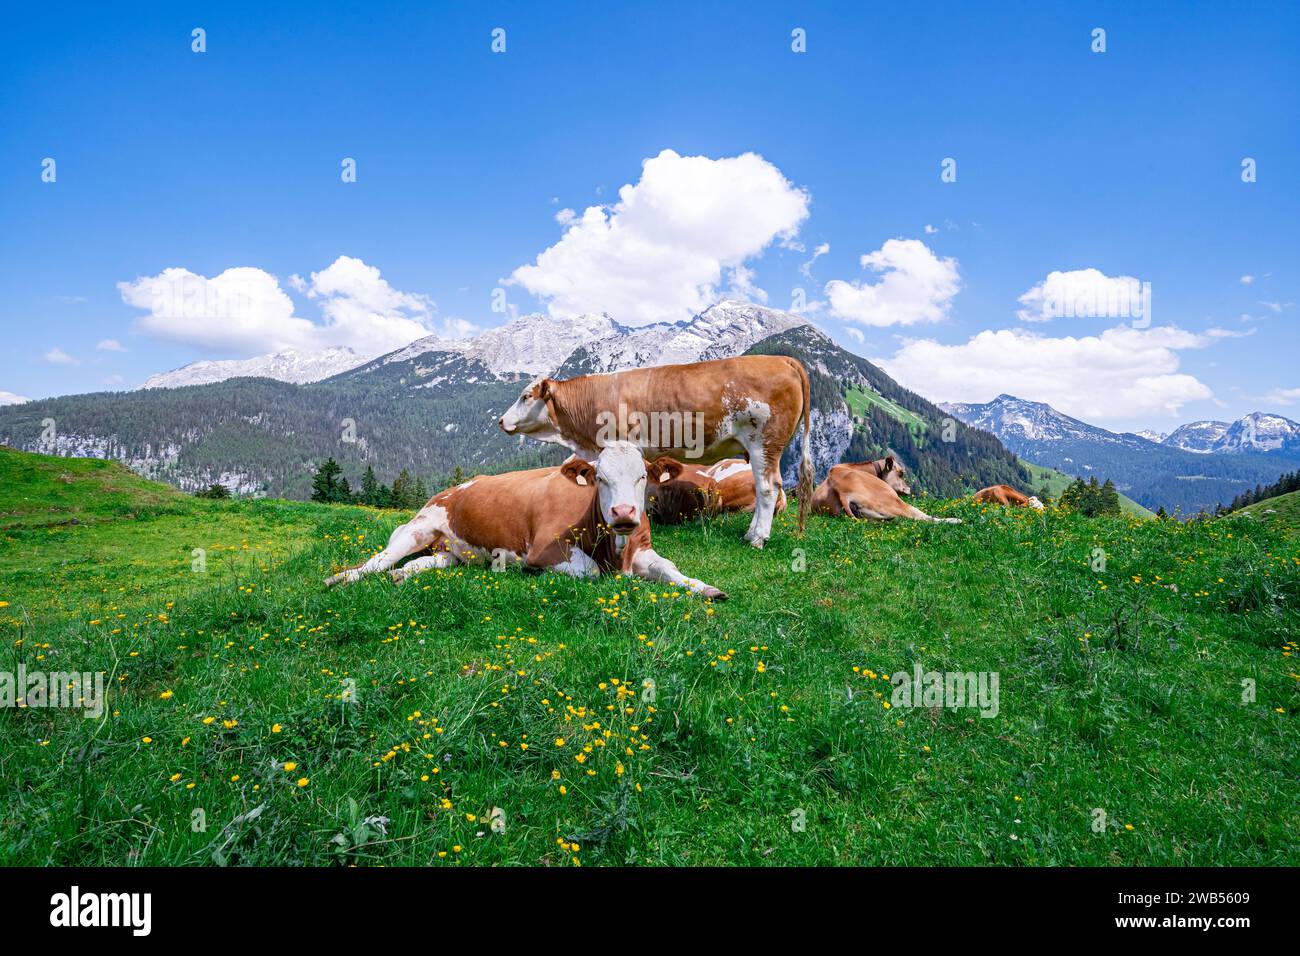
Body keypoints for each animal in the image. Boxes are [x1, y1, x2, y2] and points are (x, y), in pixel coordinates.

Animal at [321, 442, 728, 598]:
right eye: (600, 477)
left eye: (642, 476)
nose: (625, 513)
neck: (616, 551)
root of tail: (449, 489)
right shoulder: (544, 549)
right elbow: (590, 572)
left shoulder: (642, 549)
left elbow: (669, 568)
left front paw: (707, 588)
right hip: (417, 527)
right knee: (378, 560)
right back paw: (341, 578)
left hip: (450, 550)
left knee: (427, 563)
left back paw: (403, 575)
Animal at [806, 457, 961, 522]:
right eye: (901, 473)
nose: (908, 489)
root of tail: (842, 491)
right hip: (896, 503)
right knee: (922, 517)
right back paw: (955, 520)